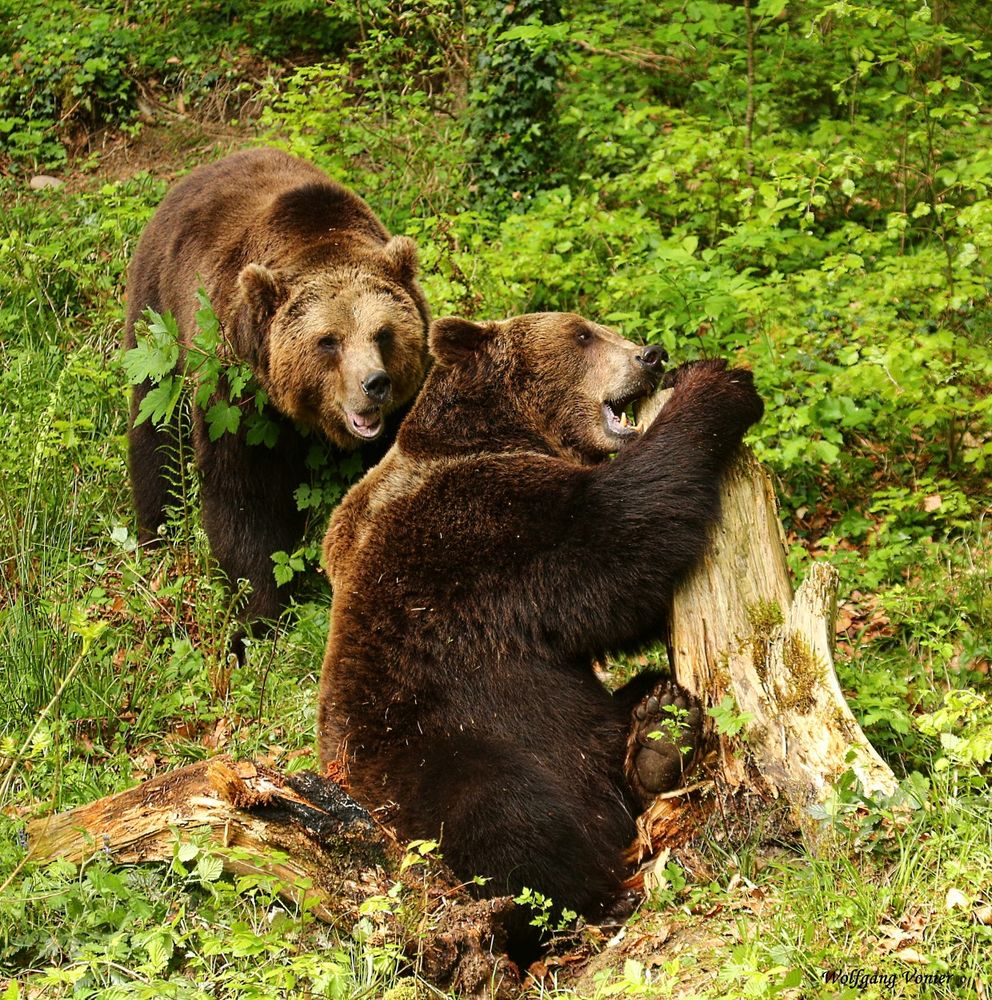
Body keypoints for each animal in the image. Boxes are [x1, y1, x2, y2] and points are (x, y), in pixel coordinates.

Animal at [124, 146, 430, 632]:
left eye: (383, 333)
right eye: (329, 341)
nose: (374, 385)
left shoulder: (407, 402)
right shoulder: (239, 398)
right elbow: (245, 498)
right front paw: (258, 617)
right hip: (159, 316)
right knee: (155, 426)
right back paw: (155, 529)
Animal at [314, 312, 764, 952]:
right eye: (582, 335)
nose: (650, 355)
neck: (503, 427)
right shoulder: (479, 527)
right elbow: (612, 545)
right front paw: (720, 384)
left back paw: (657, 728)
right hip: (423, 759)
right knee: (507, 816)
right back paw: (599, 899)